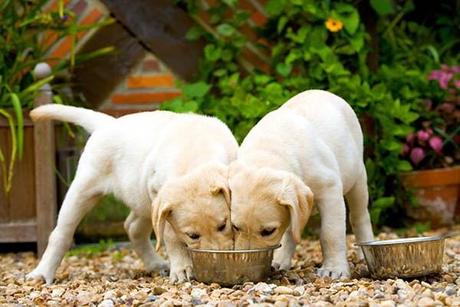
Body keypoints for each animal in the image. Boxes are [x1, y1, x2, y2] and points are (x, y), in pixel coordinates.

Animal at [27, 104, 239, 286]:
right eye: (192, 235)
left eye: (223, 225)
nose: (218, 264)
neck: (193, 150)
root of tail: (107, 123)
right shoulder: (159, 198)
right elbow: (170, 236)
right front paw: (181, 268)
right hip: (83, 189)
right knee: (61, 233)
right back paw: (42, 273)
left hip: (142, 201)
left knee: (133, 227)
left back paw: (155, 264)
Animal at [228, 89, 376, 280]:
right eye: (235, 227)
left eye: (268, 231)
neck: (268, 152)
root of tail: (322, 92)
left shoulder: (330, 191)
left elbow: (330, 233)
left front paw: (334, 269)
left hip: (357, 179)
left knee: (359, 216)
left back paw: (364, 252)